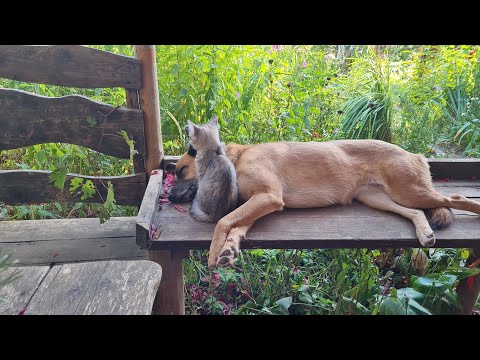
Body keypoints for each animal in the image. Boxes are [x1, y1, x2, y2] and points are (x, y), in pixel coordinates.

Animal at [166, 139, 480, 268]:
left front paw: (214, 251)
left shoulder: (268, 197)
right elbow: (236, 227)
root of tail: (415, 154)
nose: (168, 198)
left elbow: (223, 221)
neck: (238, 158)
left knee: (456, 198)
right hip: (380, 198)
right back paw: (424, 232)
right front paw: (229, 249)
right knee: (416, 212)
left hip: (410, 191)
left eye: (180, 171)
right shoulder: (261, 202)